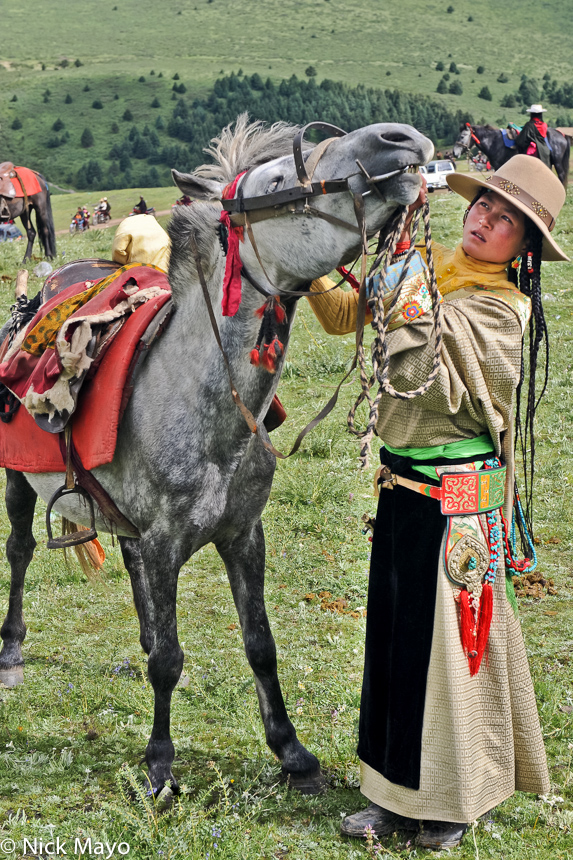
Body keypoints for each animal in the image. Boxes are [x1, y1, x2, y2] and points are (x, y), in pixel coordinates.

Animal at [0, 117, 428, 796]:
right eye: (276, 182)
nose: (402, 139)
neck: (202, 404)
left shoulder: (241, 535)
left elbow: (259, 643)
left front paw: (291, 752)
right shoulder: (166, 539)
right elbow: (170, 662)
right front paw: (159, 764)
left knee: (128, 563)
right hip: (19, 479)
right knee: (20, 550)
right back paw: (12, 651)